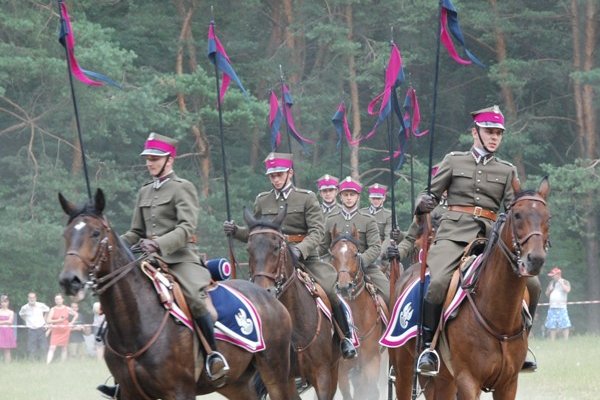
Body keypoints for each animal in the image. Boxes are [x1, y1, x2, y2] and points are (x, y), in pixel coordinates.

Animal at [57, 188, 296, 400]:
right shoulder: (130, 393)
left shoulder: (180, 391)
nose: (70, 280)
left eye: (96, 233)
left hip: (275, 373)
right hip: (236, 384)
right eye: (66, 234)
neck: (135, 322)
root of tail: (270, 297)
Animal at [326, 225, 386, 400]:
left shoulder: (372, 361)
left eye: (355, 253)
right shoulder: (342, 368)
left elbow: (370, 390)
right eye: (333, 255)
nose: (344, 286)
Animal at [390, 179, 552, 400]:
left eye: (548, 217)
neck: (499, 318)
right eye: (517, 215)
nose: (534, 259)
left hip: (443, 380)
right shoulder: (468, 381)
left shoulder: (508, 384)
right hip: (404, 368)